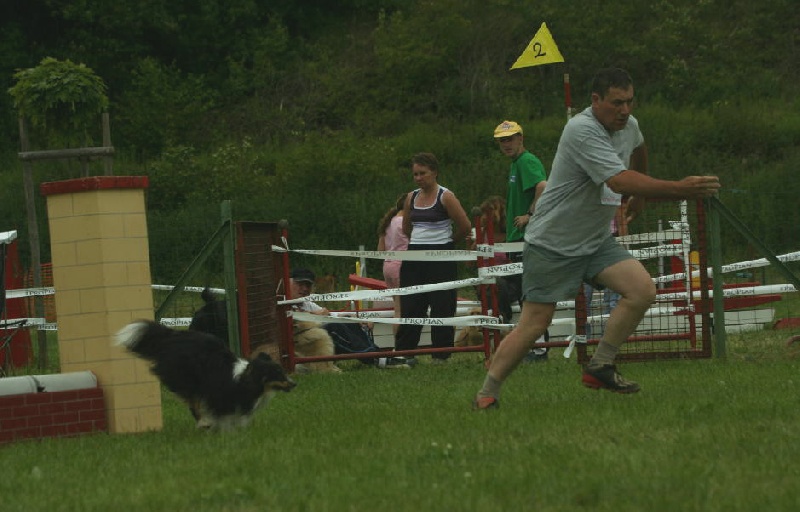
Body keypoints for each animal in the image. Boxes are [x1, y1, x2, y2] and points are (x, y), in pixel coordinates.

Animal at [115, 320, 295, 430]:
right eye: (277, 373)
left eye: (282, 371)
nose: (295, 384)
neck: (245, 381)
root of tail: (172, 336)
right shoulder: (216, 396)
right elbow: (222, 416)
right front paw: (220, 429)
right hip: (187, 380)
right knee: (193, 403)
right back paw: (203, 423)